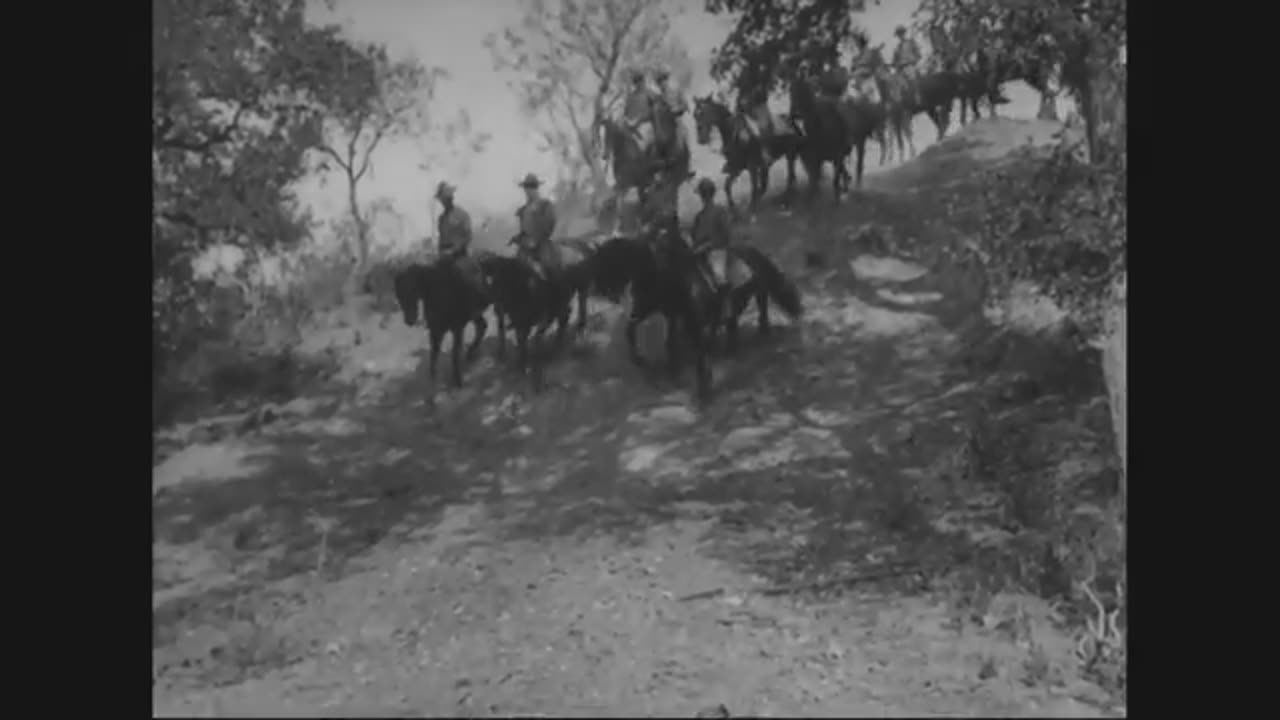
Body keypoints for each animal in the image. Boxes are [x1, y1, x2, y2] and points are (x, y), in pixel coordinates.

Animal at [586, 225, 711, 397]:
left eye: (605, 265)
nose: (601, 290)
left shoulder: (673, 310)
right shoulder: (643, 310)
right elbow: (631, 331)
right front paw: (639, 359)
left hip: (684, 312)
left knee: (693, 341)